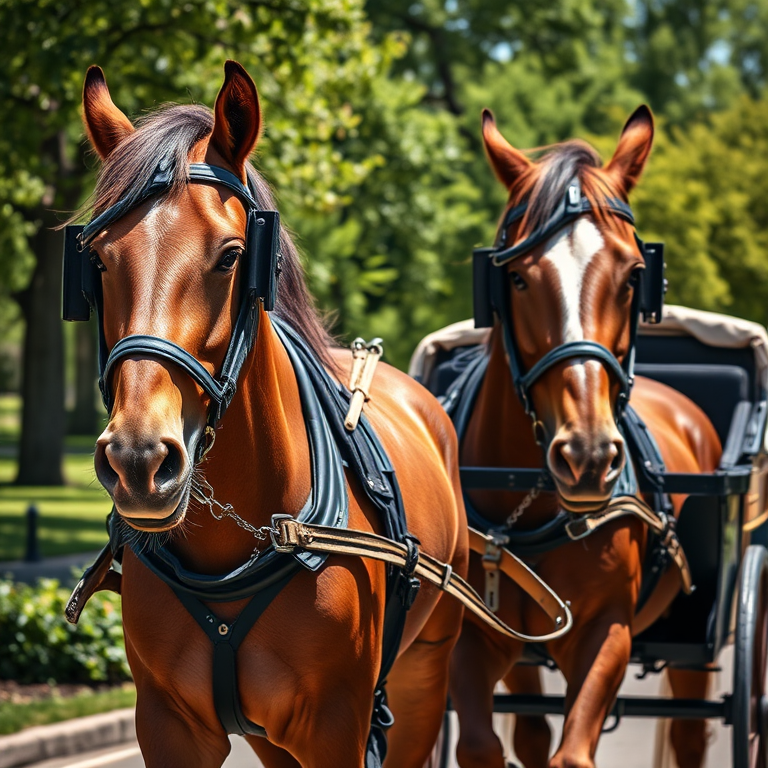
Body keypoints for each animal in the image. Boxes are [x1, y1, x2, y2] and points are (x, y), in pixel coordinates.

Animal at [75, 60, 469, 768]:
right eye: (97, 260)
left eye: (232, 255)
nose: (139, 459)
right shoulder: (169, 726)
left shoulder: (338, 727)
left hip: (427, 671)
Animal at [446, 107, 722, 768]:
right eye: (517, 279)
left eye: (634, 276)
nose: (589, 456)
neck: (529, 500)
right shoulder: (477, 632)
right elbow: (481, 744)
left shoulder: (607, 630)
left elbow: (571, 754)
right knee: (527, 729)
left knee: (690, 730)